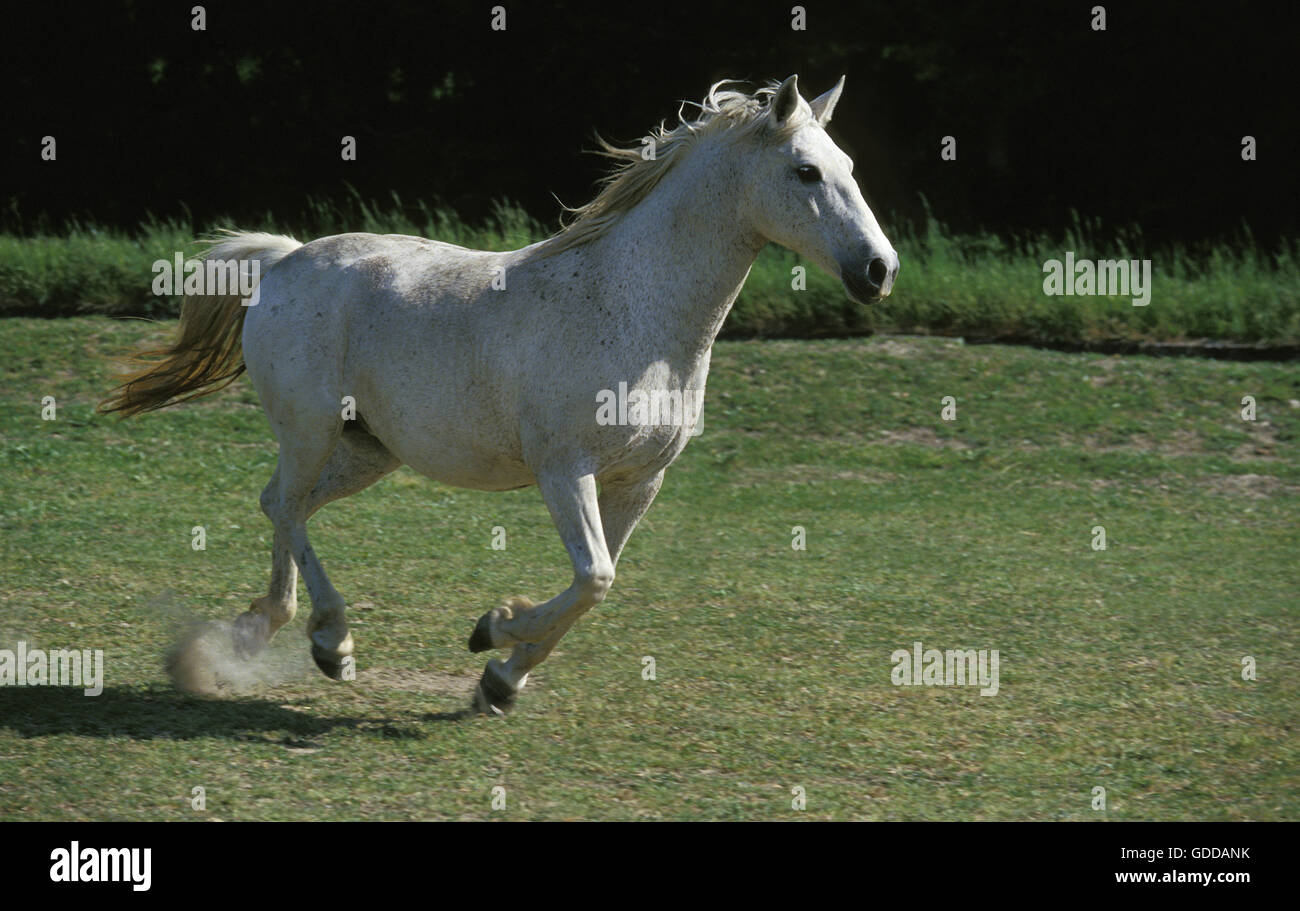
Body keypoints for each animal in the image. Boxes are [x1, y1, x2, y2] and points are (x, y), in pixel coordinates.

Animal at [101, 74, 899, 712]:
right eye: (805, 171)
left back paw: (263, 638)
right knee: (288, 508)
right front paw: (495, 630)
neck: (632, 308)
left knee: (280, 505)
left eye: (851, 167)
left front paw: (500, 678)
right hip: (310, 429)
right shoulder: (563, 469)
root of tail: (286, 259)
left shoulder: (641, 479)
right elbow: (593, 576)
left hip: (367, 451)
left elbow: (597, 586)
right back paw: (331, 641)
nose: (879, 270)